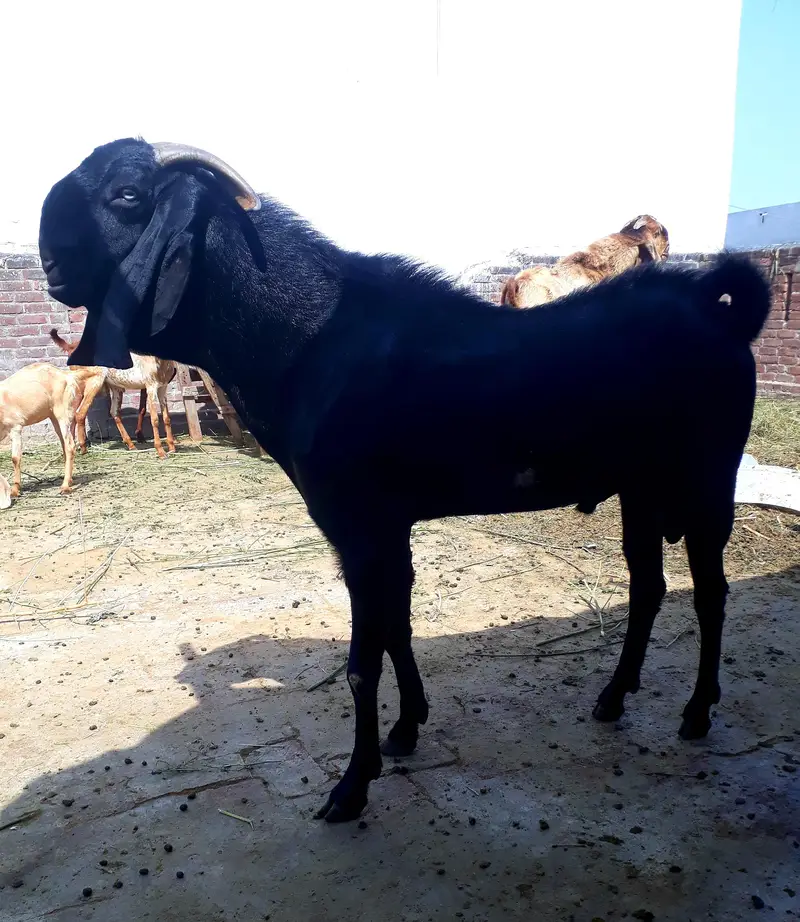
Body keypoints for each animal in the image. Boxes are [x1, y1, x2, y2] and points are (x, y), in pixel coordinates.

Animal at [0, 362, 81, 496]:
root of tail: (66, 376)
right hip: (53, 416)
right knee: (64, 444)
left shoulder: (15, 427)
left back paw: (65, 486)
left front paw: (15, 490)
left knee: (70, 445)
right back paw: (69, 480)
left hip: (62, 412)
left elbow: (15, 458)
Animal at [49, 329, 177, 459]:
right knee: (80, 413)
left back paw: (130, 445)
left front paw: (172, 448)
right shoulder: (151, 387)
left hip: (113, 388)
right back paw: (83, 448)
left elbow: (166, 418)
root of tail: (71, 346)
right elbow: (154, 419)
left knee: (110, 412)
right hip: (93, 383)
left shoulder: (162, 388)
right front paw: (161, 451)